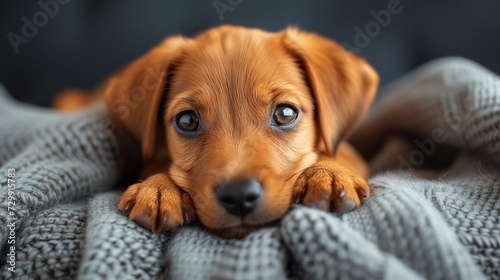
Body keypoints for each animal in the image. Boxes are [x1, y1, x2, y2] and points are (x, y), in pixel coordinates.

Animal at [54, 25, 376, 237]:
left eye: (285, 114)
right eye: (187, 121)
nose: (239, 196)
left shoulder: (351, 151)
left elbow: (331, 153)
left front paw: (328, 171)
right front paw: (158, 187)